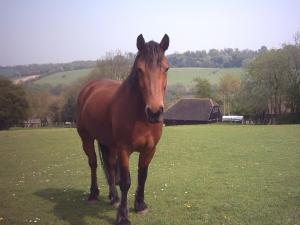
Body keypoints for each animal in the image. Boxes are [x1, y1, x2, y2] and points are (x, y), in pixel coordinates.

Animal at [76, 33, 170, 225]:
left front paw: (140, 205)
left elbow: (142, 175)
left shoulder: (150, 149)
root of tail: (89, 88)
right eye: (140, 69)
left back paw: (114, 197)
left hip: (108, 143)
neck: (141, 117)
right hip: (86, 138)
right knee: (93, 163)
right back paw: (93, 194)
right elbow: (126, 181)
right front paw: (123, 216)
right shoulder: (124, 149)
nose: (154, 112)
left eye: (166, 69)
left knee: (111, 167)